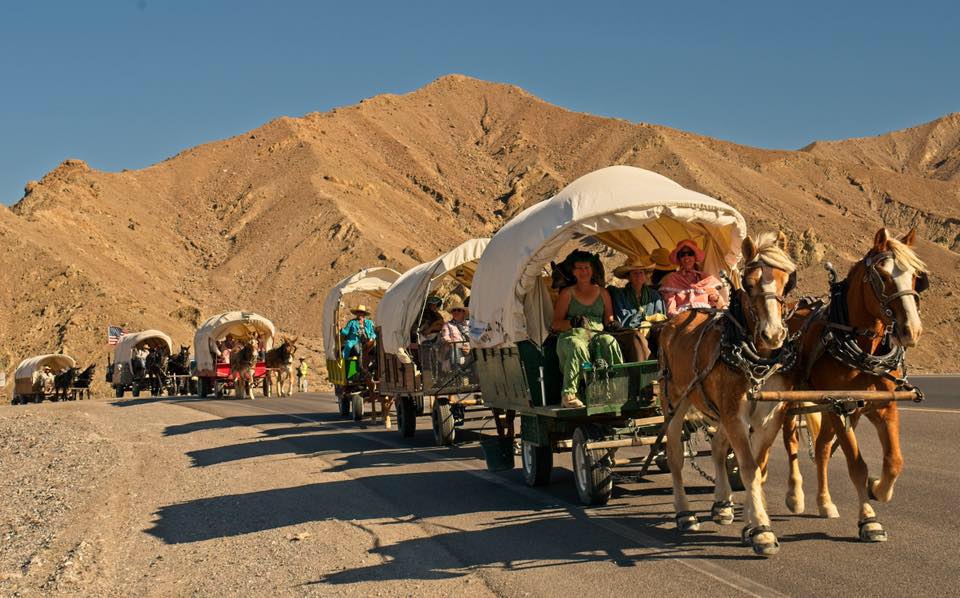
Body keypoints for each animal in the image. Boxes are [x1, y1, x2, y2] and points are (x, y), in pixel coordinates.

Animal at [784, 229, 928, 544]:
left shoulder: (882, 406)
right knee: (791, 441)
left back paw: (824, 502)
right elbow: (856, 465)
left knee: (823, 448)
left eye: (916, 277)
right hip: (789, 399)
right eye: (882, 276)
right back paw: (795, 495)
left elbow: (894, 461)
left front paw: (878, 489)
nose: (911, 330)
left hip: (825, 406)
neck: (861, 345)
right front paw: (869, 520)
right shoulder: (841, 406)